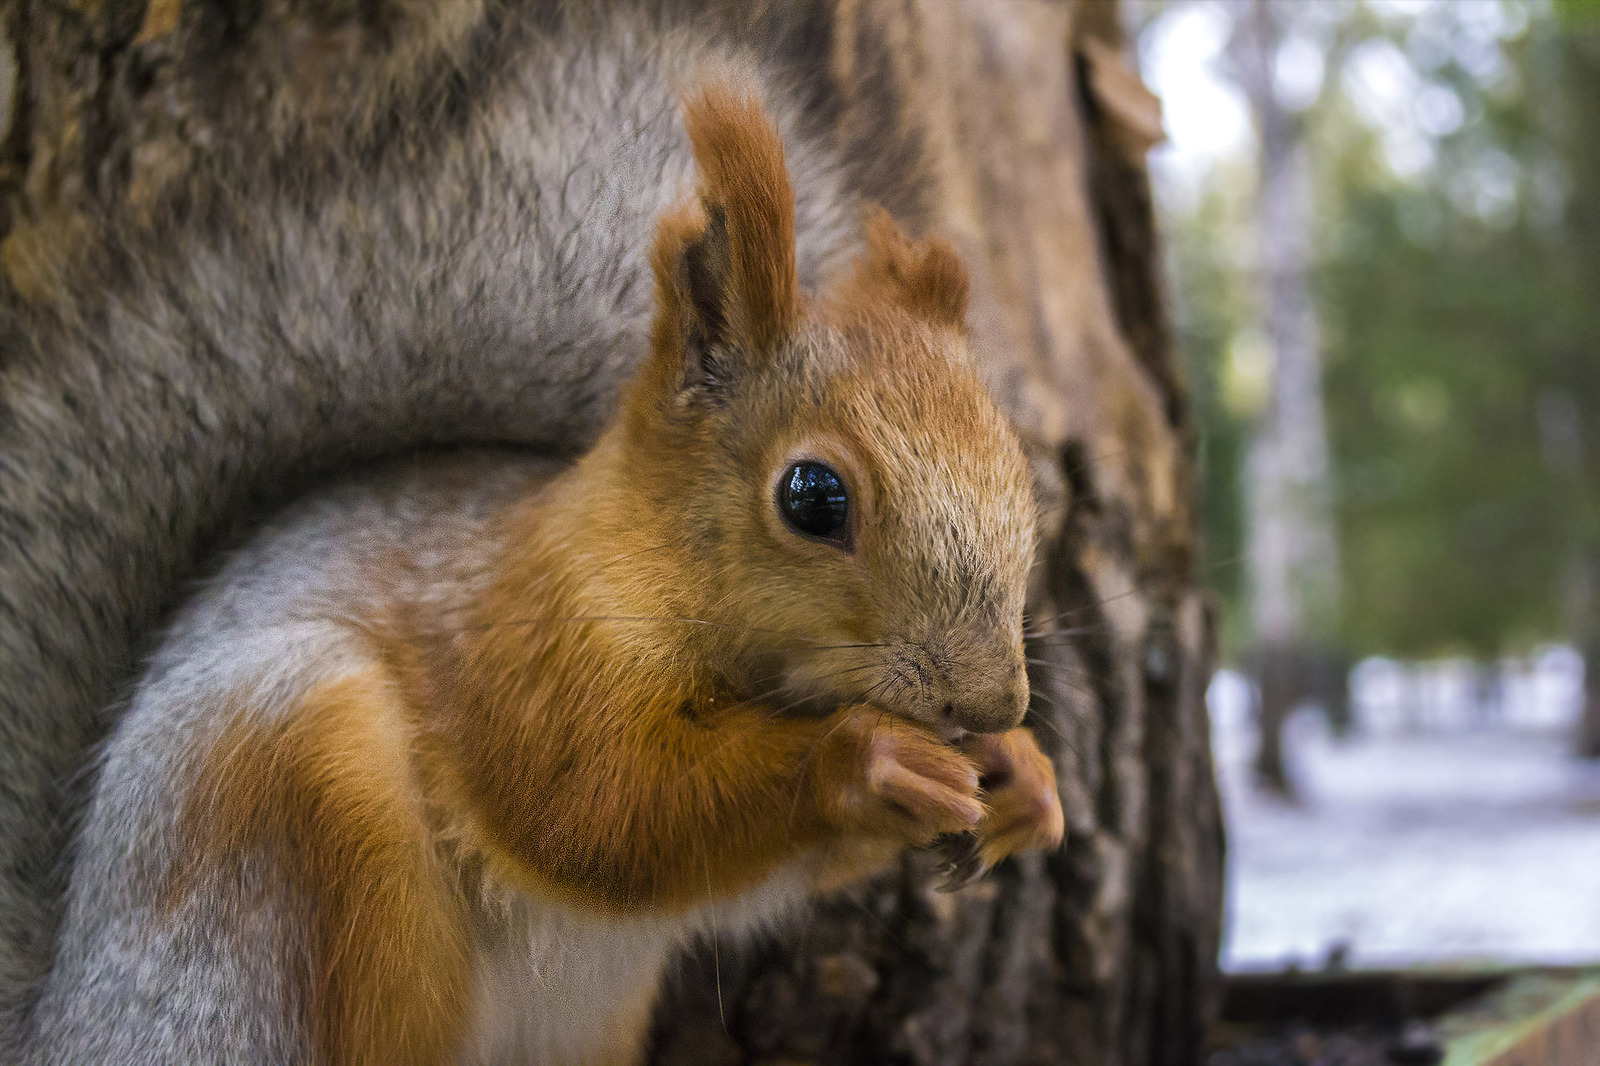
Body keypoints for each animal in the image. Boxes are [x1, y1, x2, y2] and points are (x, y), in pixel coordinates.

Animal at [21, 85, 1062, 1062]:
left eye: (1020, 468)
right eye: (813, 498)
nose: (993, 701)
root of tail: (67, 1019)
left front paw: (1025, 777)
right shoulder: (525, 643)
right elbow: (598, 807)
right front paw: (865, 757)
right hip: (280, 806)